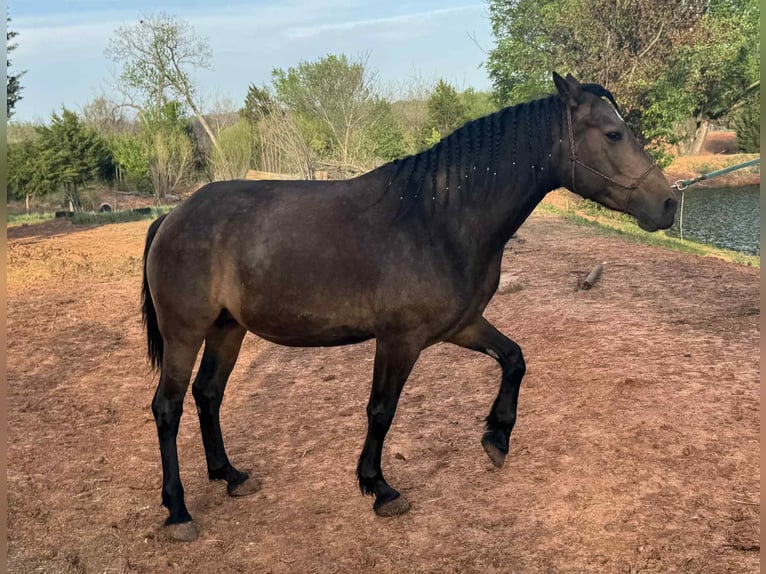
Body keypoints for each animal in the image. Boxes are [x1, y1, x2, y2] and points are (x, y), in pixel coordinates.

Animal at [141, 72, 677, 541]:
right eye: (613, 133)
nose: (669, 204)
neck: (438, 218)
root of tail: (173, 217)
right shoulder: (399, 340)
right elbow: (381, 410)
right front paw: (378, 488)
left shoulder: (462, 326)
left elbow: (514, 359)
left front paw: (497, 439)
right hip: (185, 334)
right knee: (168, 408)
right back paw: (178, 511)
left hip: (227, 329)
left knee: (208, 395)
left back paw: (229, 475)